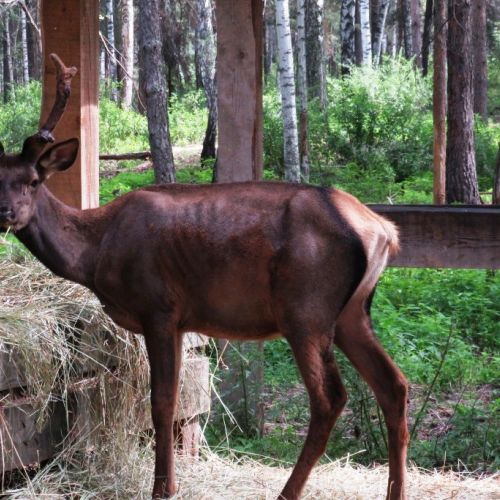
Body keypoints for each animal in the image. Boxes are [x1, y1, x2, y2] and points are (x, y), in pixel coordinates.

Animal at [0, 54, 408, 500]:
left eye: (33, 181)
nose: (7, 212)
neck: (96, 253)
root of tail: (384, 231)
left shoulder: (158, 307)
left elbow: (162, 403)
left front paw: (162, 489)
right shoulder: (180, 321)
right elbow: (177, 398)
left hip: (307, 308)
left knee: (331, 398)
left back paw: (288, 492)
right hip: (352, 313)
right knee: (394, 385)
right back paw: (395, 491)